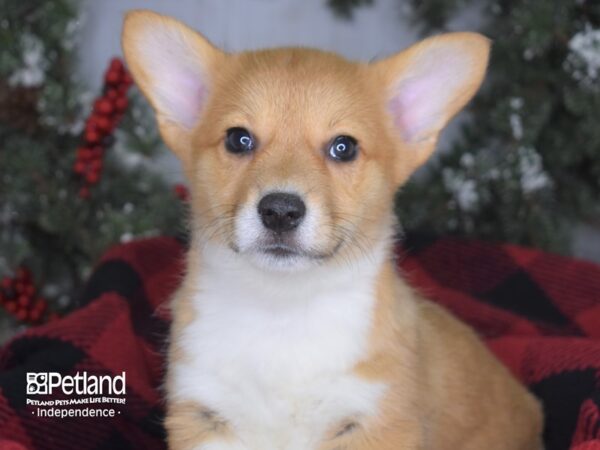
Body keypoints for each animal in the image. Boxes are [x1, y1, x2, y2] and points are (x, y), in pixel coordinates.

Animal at [122, 10, 544, 450]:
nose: (280, 211)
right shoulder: (206, 415)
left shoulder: (374, 420)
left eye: (344, 147)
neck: (281, 310)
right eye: (238, 139)